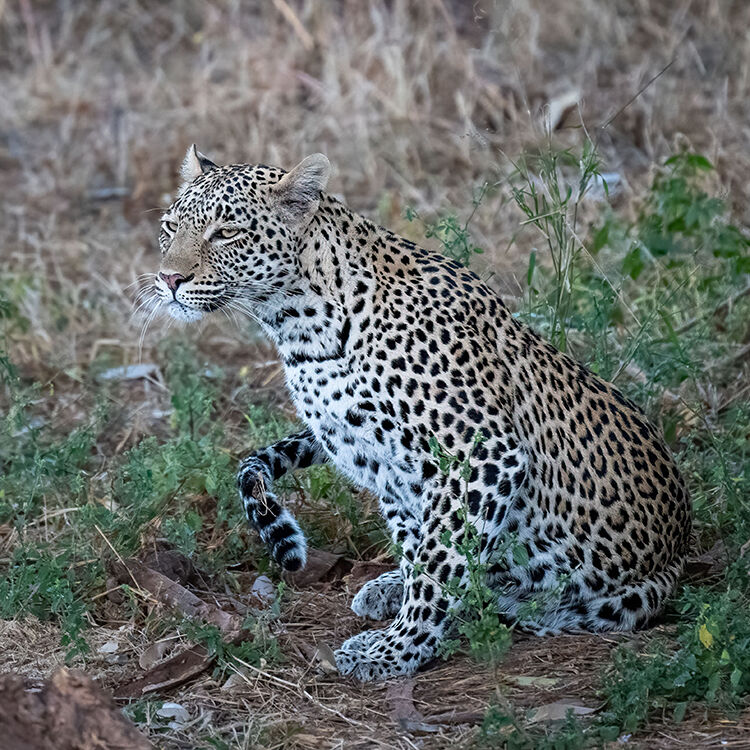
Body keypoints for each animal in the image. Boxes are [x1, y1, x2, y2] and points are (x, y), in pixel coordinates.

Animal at [150, 144, 692, 682]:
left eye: (226, 233)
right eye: (170, 227)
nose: (169, 278)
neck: (299, 327)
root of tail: (682, 545)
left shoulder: (480, 456)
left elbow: (439, 559)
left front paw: (398, 649)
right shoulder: (388, 467)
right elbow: (421, 550)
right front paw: (402, 622)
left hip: (629, 594)